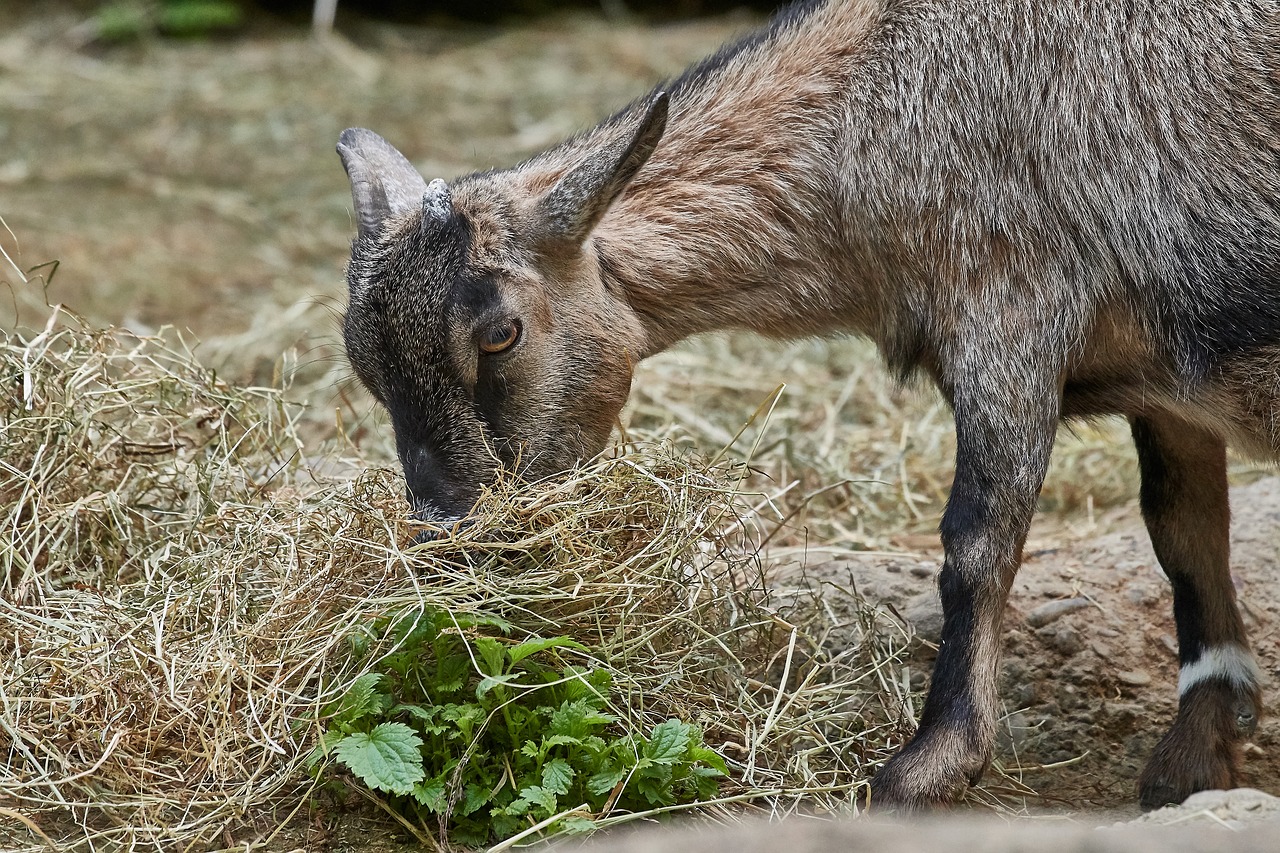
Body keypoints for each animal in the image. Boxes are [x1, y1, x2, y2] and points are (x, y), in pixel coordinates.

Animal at [335, 0, 1274, 809]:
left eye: (500, 333)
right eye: (362, 362)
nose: (452, 547)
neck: (878, 110)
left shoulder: (1010, 314)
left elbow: (977, 542)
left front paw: (926, 767)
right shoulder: (1168, 385)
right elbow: (1185, 531)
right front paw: (1197, 754)